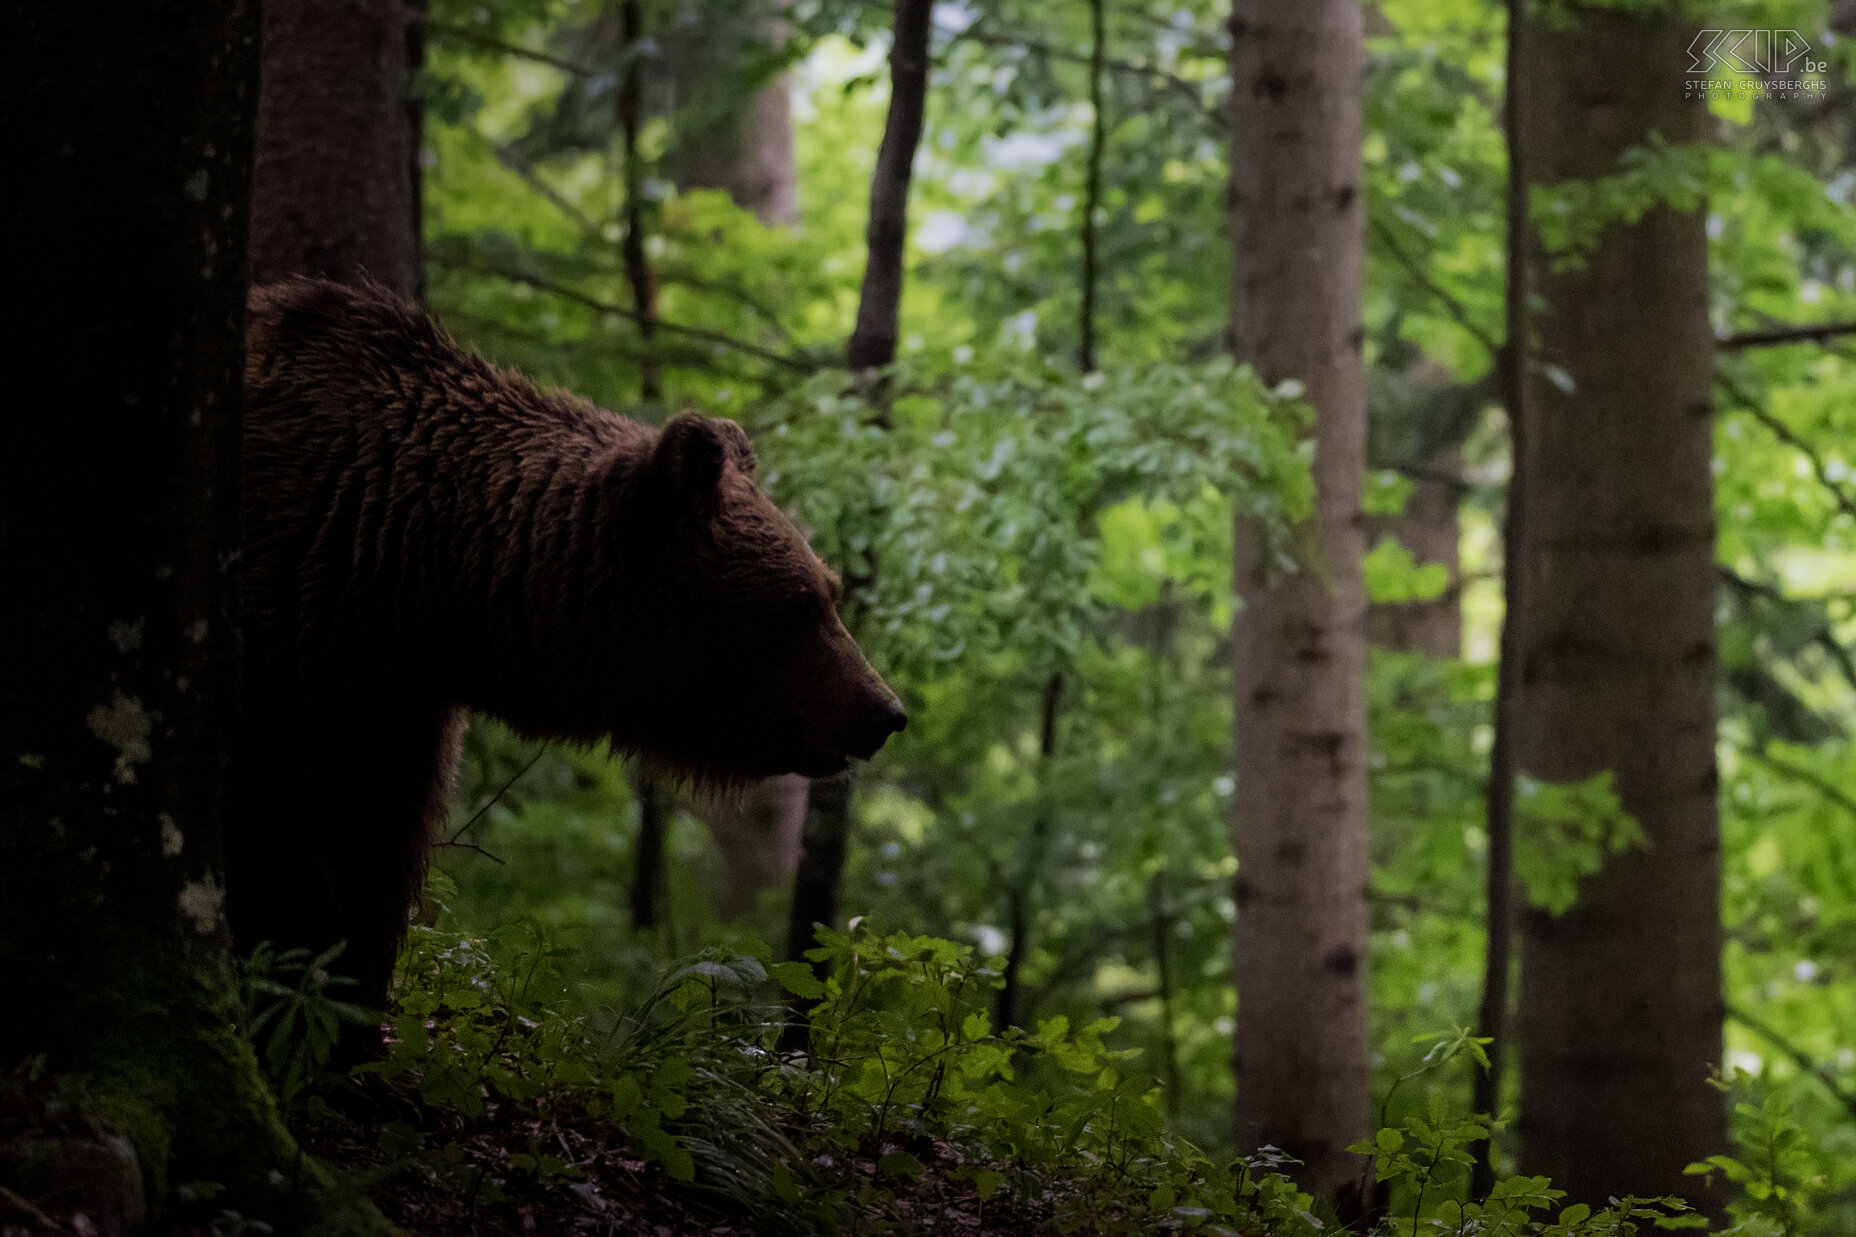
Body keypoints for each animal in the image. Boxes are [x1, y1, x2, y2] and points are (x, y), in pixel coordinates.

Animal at [230, 278, 898, 1017]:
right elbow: (278, 840)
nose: (883, 710)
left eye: (830, 589)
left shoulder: (398, 699)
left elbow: (379, 851)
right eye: (802, 604)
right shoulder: (287, 630)